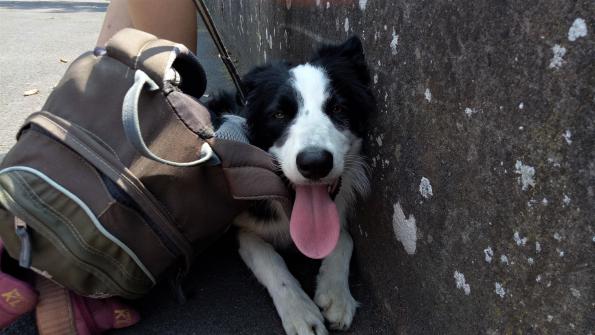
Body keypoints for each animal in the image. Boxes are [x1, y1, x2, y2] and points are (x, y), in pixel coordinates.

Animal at [212, 36, 374, 335]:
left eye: (338, 109)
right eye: (278, 114)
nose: (315, 163)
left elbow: (344, 237)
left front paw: (336, 294)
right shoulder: (235, 225)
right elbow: (266, 256)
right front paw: (300, 311)